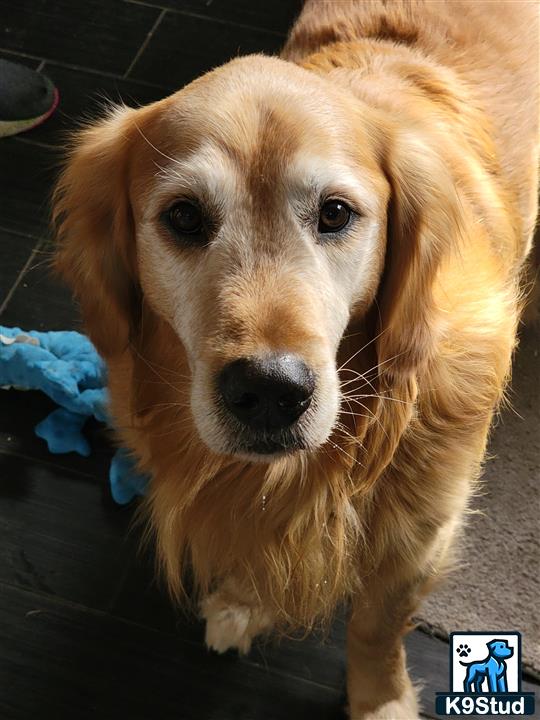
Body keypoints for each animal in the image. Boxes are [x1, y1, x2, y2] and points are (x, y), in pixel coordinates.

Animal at [52, 2, 536, 716]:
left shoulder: (424, 530)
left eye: (335, 213)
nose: (269, 392)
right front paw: (244, 603)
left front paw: (380, 699)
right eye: (184, 217)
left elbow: (375, 625)